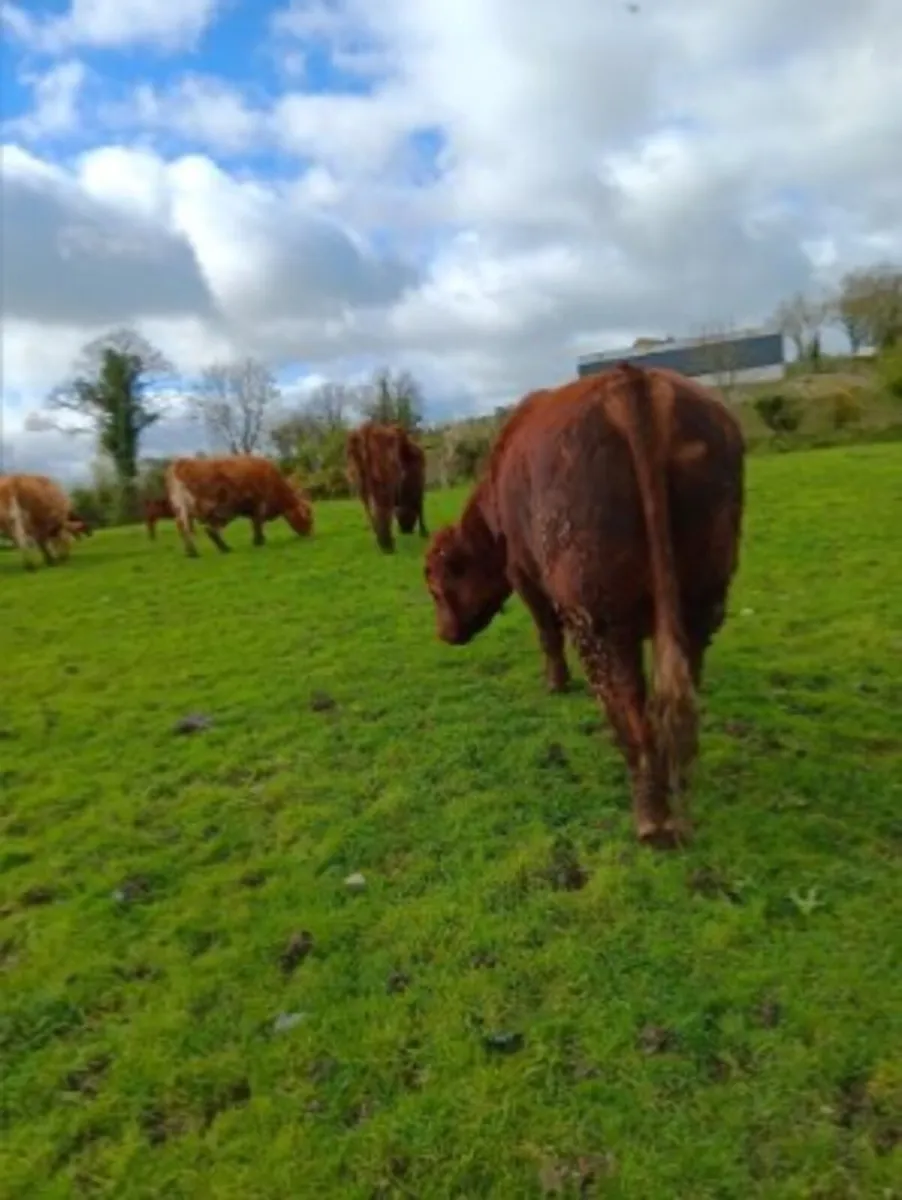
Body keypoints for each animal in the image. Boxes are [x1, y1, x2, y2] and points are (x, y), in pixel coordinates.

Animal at [165, 455, 314, 558]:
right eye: (308, 516)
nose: (309, 534)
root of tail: (182, 462)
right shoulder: (258, 505)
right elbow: (257, 524)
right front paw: (259, 541)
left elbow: (254, 523)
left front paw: (258, 541)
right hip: (201, 507)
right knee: (205, 530)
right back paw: (218, 549)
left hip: (182, 509)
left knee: (184, 528)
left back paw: (193, 552)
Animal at [346, 422, 428, 553]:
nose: (406, 530)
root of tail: (365, 430)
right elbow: (420, 504)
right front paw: (425, 534)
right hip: (383, 473)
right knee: (381, 503)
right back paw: (387, 546)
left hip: (359, 476)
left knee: (367, 503)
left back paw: (382, 544)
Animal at [424, 363, 745, 849]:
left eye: (437, 590)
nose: (444, 634)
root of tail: (632, 378)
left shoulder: (524, 574)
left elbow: (547, 633)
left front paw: (555, 683)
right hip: (701, 601)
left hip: (599, 619)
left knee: (629, 707)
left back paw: (651, 818)